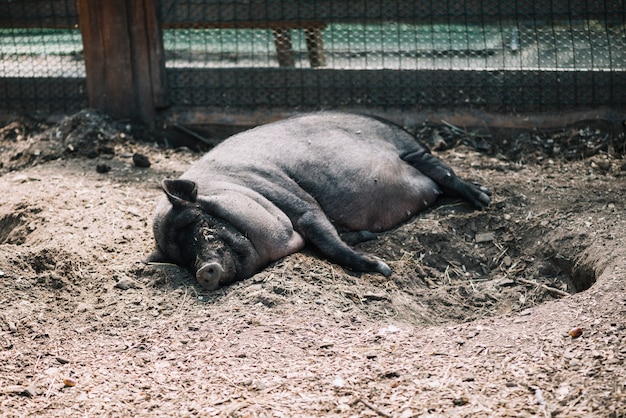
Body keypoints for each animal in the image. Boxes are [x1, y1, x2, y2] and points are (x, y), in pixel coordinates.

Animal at [149, 112, 490, 290]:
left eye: (203, 226)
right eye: (182, 258)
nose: (203, 271)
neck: (238, 186)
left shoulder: (299, 201)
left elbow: (329, 241)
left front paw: (383, 269)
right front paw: (369, 239)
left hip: (413, 151)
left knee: (444, 173)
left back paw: (483, 197)